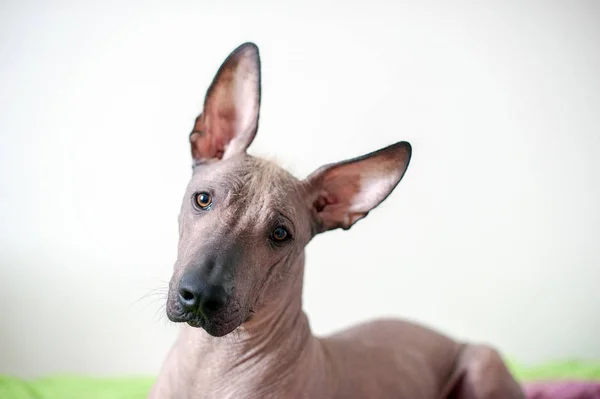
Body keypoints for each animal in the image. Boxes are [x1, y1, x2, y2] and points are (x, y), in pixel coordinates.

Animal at [149, 42, 524, 398]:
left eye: (280, 233)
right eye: (203, 199)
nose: (200, 296)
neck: (210, 361)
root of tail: (452, 338)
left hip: (483, 362)